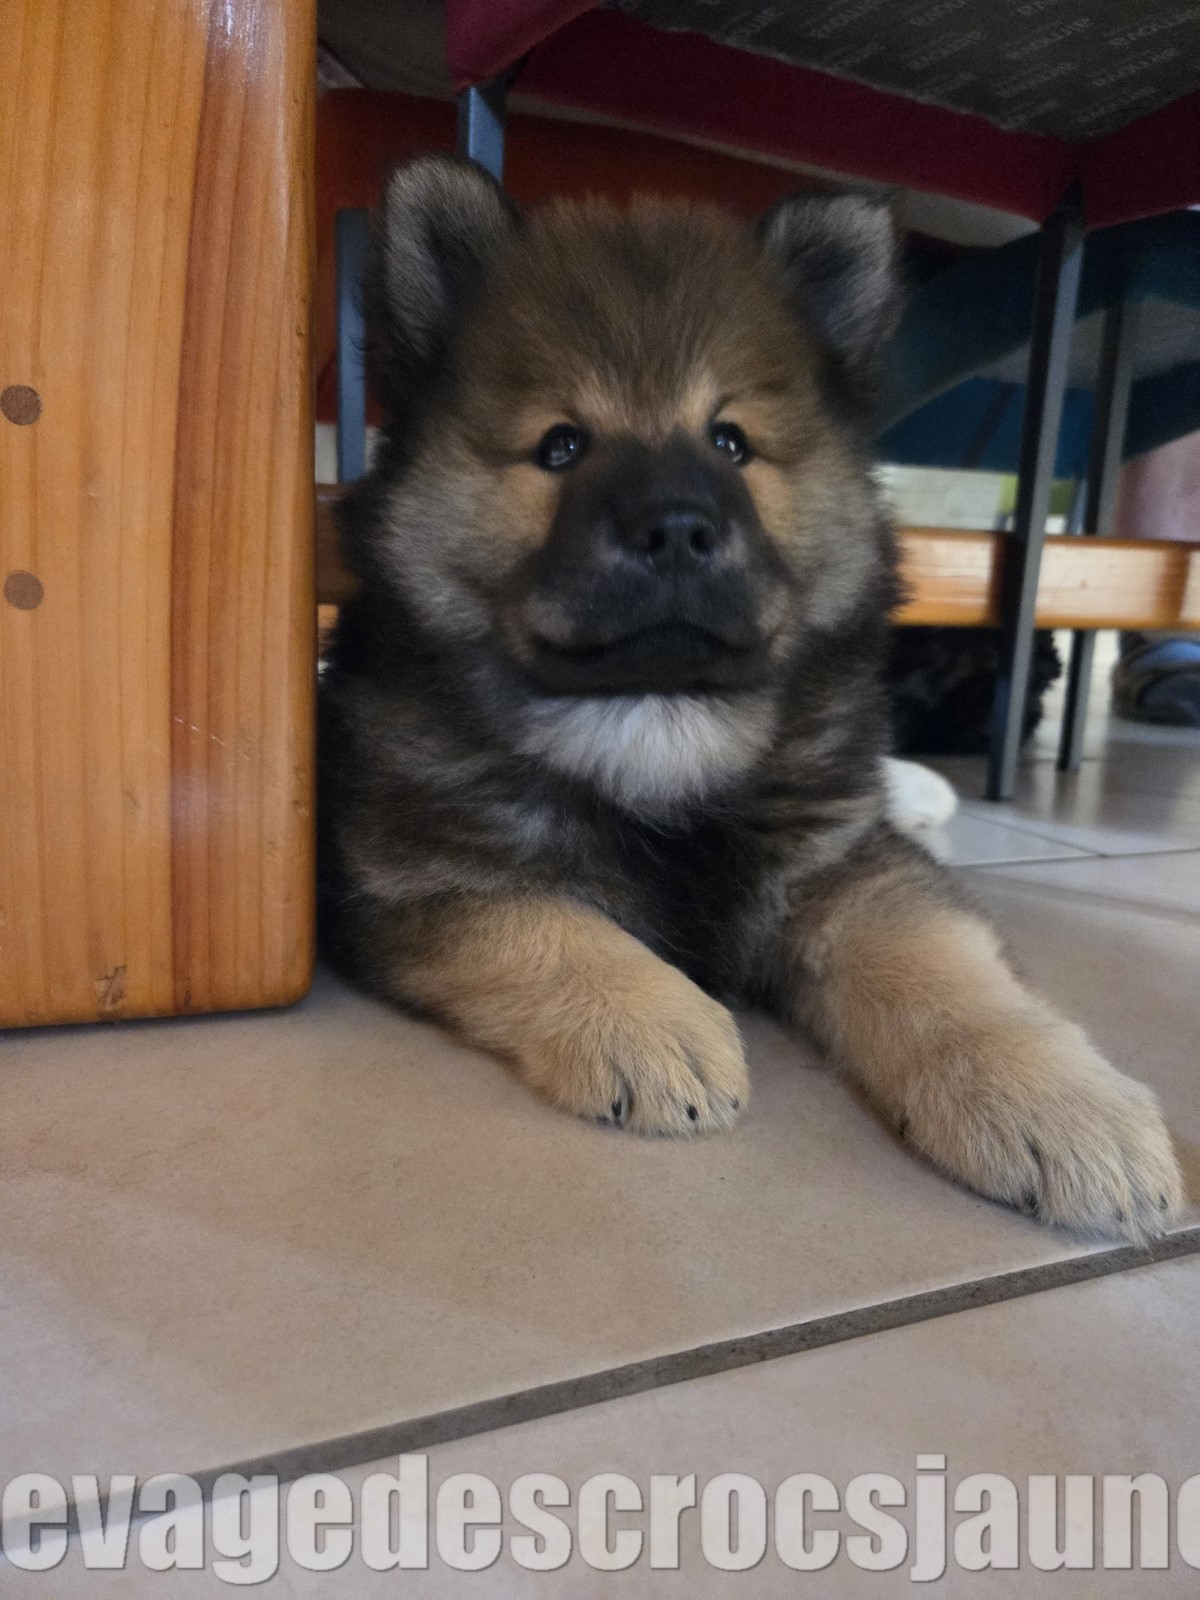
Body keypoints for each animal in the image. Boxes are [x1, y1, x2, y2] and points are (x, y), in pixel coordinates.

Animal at [318, 156, 1182, 1241]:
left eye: (730, 442)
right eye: (561, 446)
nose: (676, 527)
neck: (660, 714)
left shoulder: (846, 865)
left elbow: (943, 968)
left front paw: (1060, 1105)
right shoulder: (420, 876)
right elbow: (546, 922)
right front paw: (653, 1020)